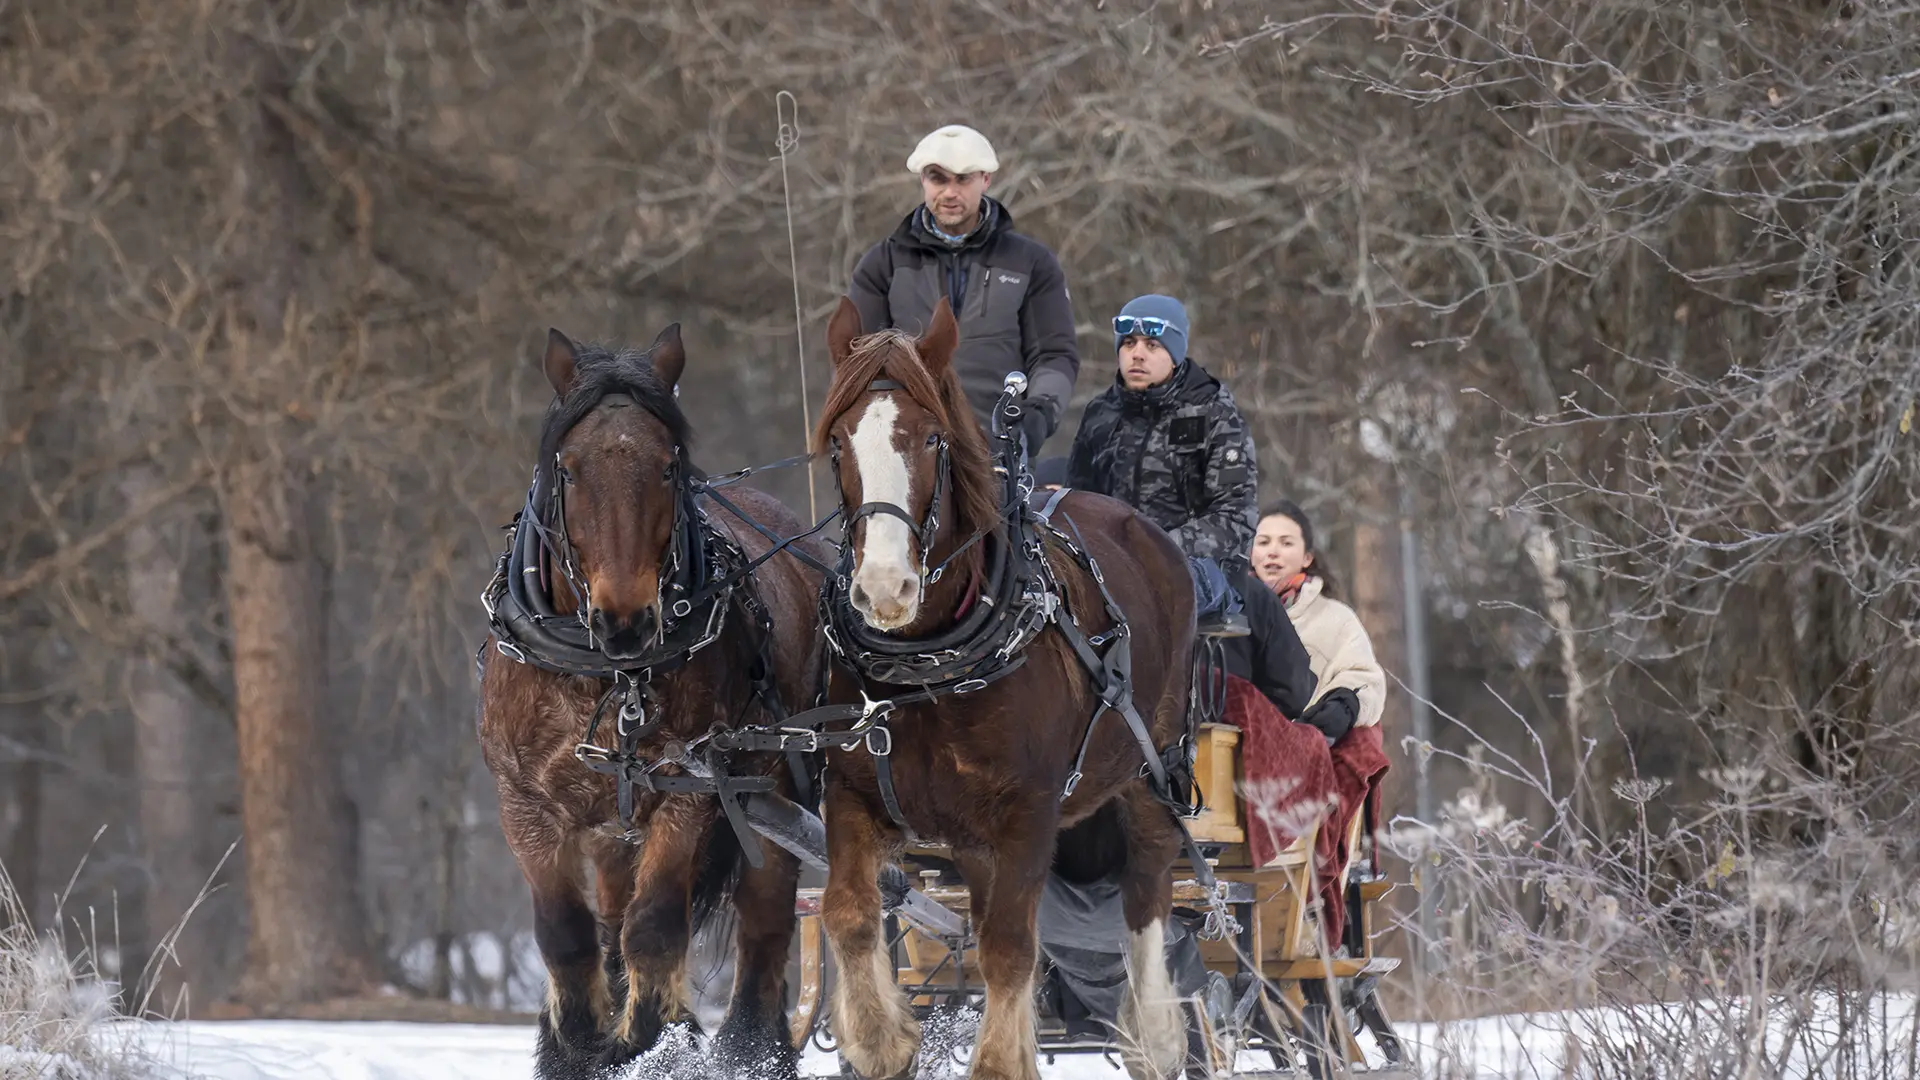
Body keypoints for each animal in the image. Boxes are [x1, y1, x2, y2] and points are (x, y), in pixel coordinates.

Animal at [476, 326, 821, 1076]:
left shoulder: (691, 794)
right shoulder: (523, 802)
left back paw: (751, 1049)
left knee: (764, 923)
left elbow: (657, 926)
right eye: (569, 470)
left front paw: (654, 1040)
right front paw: (577, 1045)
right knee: (608, 917)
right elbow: (566, 934)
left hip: (772, 791)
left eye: (668, 468)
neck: (607, 674)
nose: (625, 620)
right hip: (612, 826)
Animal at [817, 295, 1205, 1076]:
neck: (931, 664)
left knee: (1147, 889)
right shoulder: (854, 791)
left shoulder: (1029, 813)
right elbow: (847, 912)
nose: (885, 587)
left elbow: (1007, 948)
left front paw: (998, 1059)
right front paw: (882, 1036)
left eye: (931, 439)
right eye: (840, 444)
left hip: (1152, 767)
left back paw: (1152, 1036)